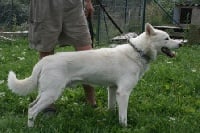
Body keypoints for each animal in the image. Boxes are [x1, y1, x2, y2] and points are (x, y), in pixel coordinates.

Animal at [7, 23, 182, 127]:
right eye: (167, 38)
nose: (180, 43)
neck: (137, 52)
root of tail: (44, 61)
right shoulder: (124, 92)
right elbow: (123, 116)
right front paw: (124, 127)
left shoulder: (113, 89)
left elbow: (112, 108)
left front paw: (110, 118)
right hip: (52, 93)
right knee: (32, 110)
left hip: (45, 92)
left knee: (31, 106)